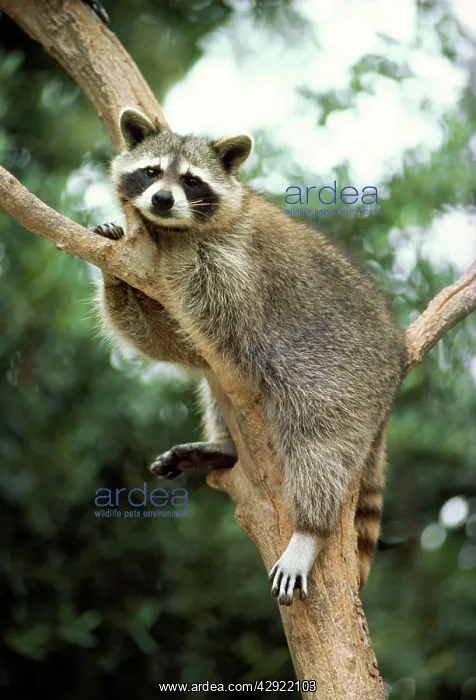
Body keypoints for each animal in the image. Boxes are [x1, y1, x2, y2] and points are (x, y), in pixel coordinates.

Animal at [93, 108, 405, 606]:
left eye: (192, 181)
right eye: (151, 172)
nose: (161, 200)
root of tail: (396, 363)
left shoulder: (236, 261)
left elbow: (215, 310)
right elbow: (173, 343)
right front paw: (113, 271)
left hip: (342, 376)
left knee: (320, 445)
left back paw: (309, 530)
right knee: (214, 386)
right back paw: (224, 445)